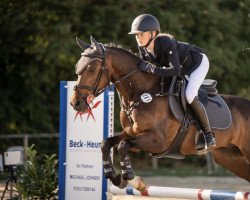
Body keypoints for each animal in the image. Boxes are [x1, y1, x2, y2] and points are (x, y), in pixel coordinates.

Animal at [69, 36, 250, 191]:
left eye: (92, 68)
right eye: (78, 66)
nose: (75, 103)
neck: (142, 93)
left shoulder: (158, 141)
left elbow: (123, 145)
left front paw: (129, 176)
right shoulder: (132, 133)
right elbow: (107, 143)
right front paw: (116, 178)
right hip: (231, 158)